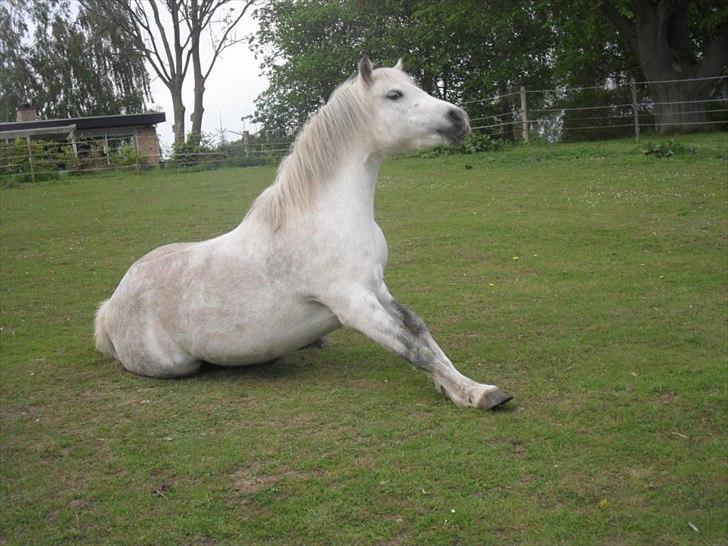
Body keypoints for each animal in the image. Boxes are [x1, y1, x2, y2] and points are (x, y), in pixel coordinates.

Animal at [94, 56, 512, 410]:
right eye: (394, 95)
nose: (459, 118)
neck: (328, 215)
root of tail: (112, 305)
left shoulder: (377, 288)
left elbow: (421, 332)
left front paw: (464, 385)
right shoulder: (352, 303)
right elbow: (413, 349)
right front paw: (476, 395)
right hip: (175, 364)